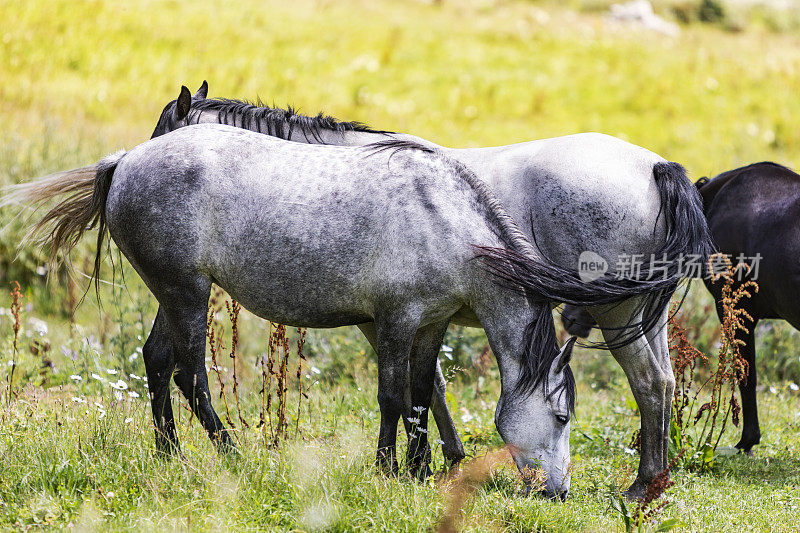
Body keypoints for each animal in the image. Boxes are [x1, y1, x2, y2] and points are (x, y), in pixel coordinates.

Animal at [4, 125, 700, 498]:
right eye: (559, 415)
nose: (558, 493)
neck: (445, 219)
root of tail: (125, 161)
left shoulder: (430, 324)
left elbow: (420, 393)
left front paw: (422, 470)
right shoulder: (393, 320)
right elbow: (394, 396)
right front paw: (391, 470)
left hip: (176, 293)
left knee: (159, 363)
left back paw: (170, 456)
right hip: (186, 294)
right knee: (188, 374)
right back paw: (229, 456)